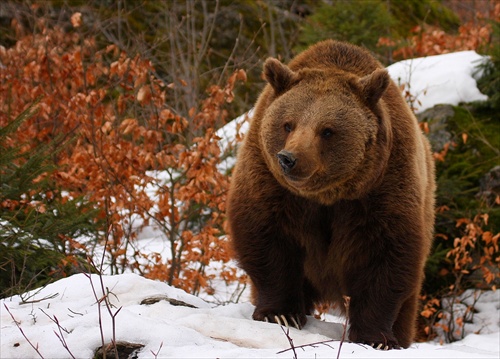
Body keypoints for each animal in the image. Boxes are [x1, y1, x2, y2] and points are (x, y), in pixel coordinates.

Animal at [227, 40, 434, 352]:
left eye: (327, 130)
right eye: (288, 124)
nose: (289, 158)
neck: (327, 195)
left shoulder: (383, 188)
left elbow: (386, 254)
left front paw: (376, 337)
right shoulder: (270, 183)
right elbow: (267, 239)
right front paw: (281, 313)